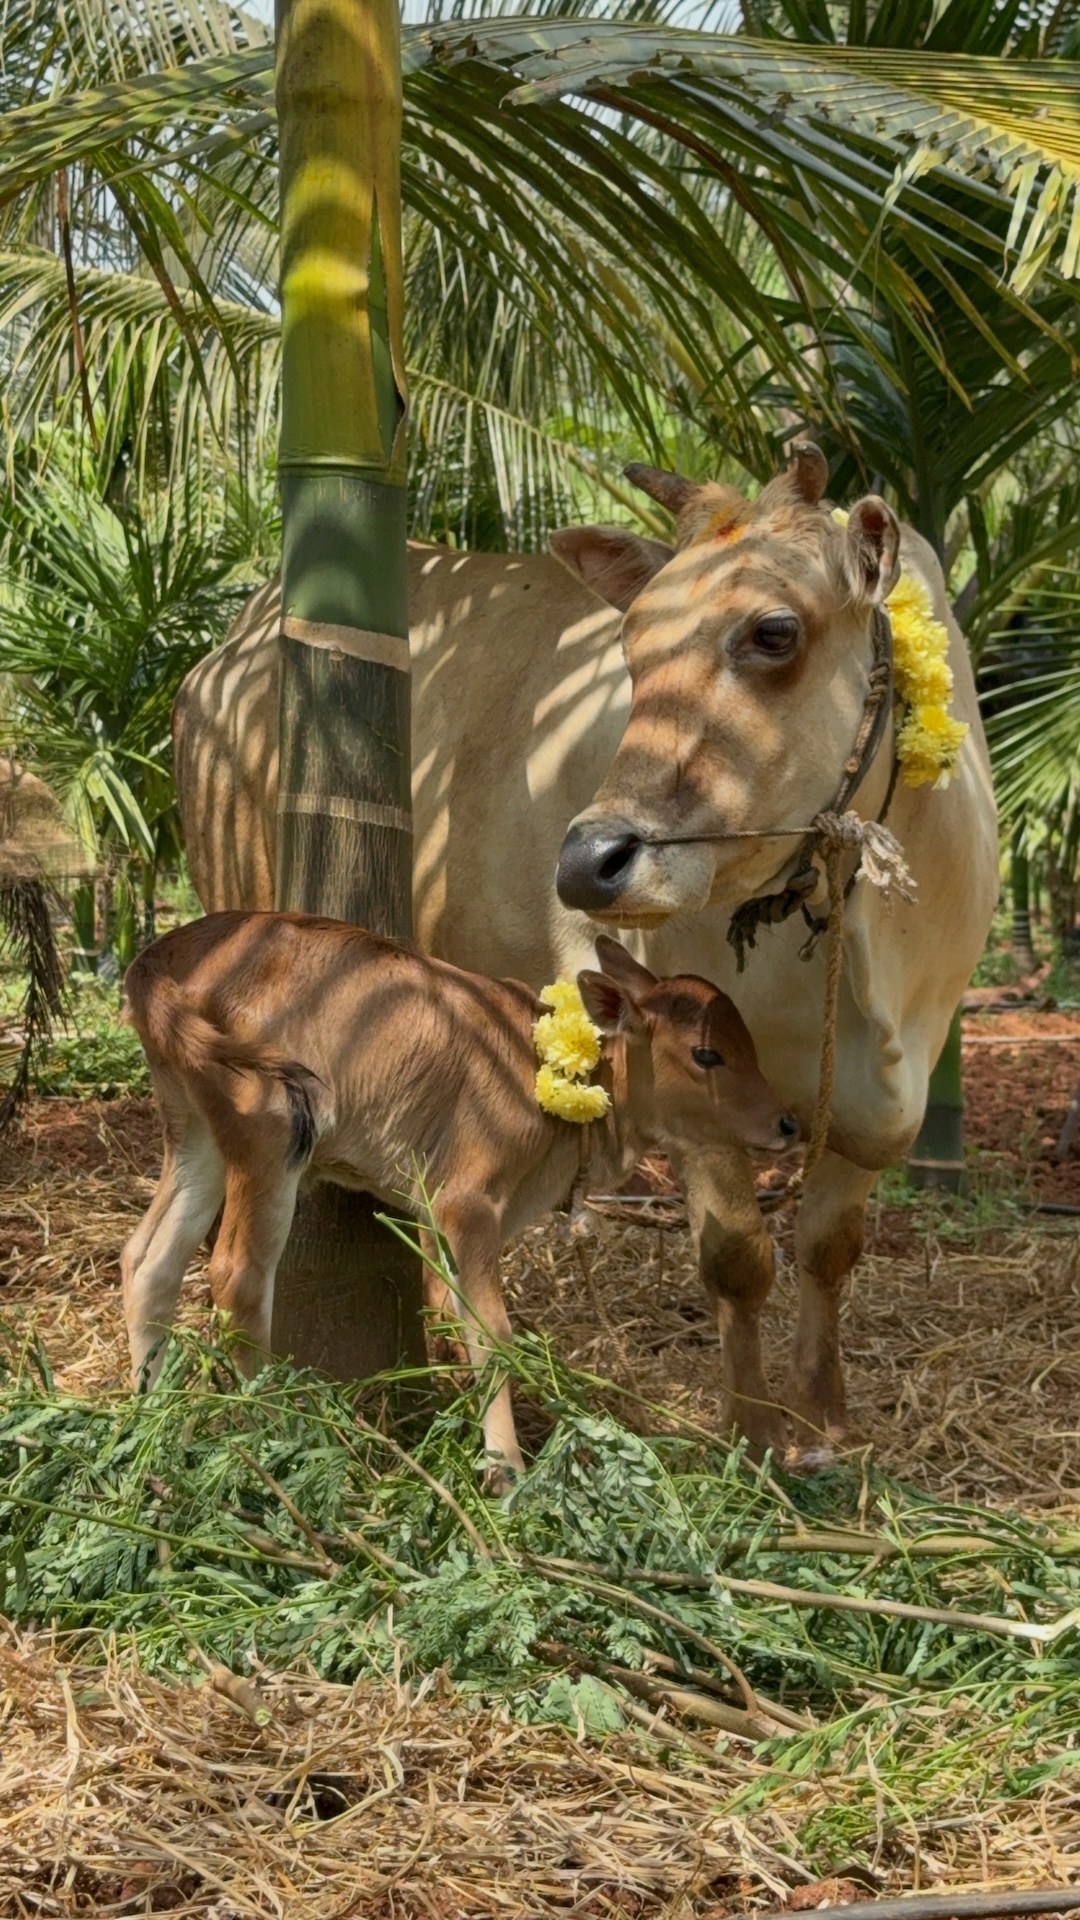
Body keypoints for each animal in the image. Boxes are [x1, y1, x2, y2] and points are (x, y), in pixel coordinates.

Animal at [121, 913, 796, 1480]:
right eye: (706, 1053)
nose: (788, 1123)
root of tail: (164, 952)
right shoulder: (466, 1206)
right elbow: (493, 1332)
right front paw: (506, 1470)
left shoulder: (445, 1222)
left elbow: (454, 1315)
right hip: (268, 1131)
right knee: (235, 1277)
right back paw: (278, 1428)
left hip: (197, 1134)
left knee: (148, 1260)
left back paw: (146, 1410)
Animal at [172, 448, 998, 1460]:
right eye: (632, 649)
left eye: (773, 630)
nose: (587, 862)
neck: (851, 938)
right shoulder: (693, 1077)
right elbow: (739, 1257)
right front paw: (753, 1429)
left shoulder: (896, 1088)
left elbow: (829, 1248)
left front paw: (822, 1417)